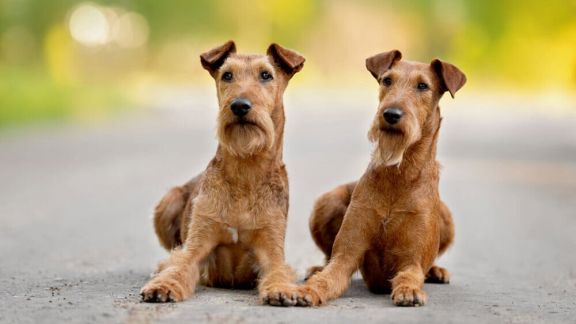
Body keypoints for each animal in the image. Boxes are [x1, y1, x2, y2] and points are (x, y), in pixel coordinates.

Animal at [140, 41, 306, 306]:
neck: (246, 169)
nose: (239, 106)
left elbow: (278, 271)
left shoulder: (271, 248)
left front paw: (281, 290)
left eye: (266, 75)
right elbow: (179, 265)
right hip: (167, 202)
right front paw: (162, 286)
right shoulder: (198, 245)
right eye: (227, 75)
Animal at [294, 50, 466, 306]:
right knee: (326, 257)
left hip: (447, 218)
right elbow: (327, 277)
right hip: (328, 201)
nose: (391, 114)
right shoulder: (346, 255)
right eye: (387, 80)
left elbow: (410, 275)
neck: (399, 174)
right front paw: (307, 290)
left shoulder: (412, 260)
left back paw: (437, 271)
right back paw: (315, 269)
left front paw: (409, 291)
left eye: (423, 86)